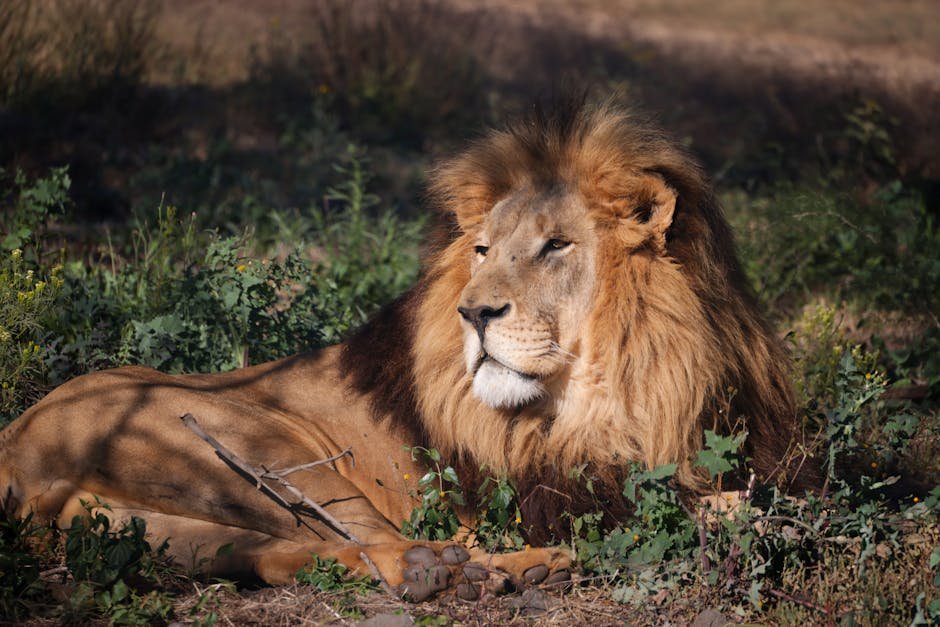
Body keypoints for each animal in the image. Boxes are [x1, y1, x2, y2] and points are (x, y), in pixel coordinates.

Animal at [0, 99, 815, 601]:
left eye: (555, 246)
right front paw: (742, 514)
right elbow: (691, 506)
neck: (627, 382)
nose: (474, 311)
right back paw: (473, 571)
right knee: (374, 543)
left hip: (165, 520)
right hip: (249, 445)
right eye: (482, 249)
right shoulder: (548, 489)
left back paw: (477, 573)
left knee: (286, 552)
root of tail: (14, 449)